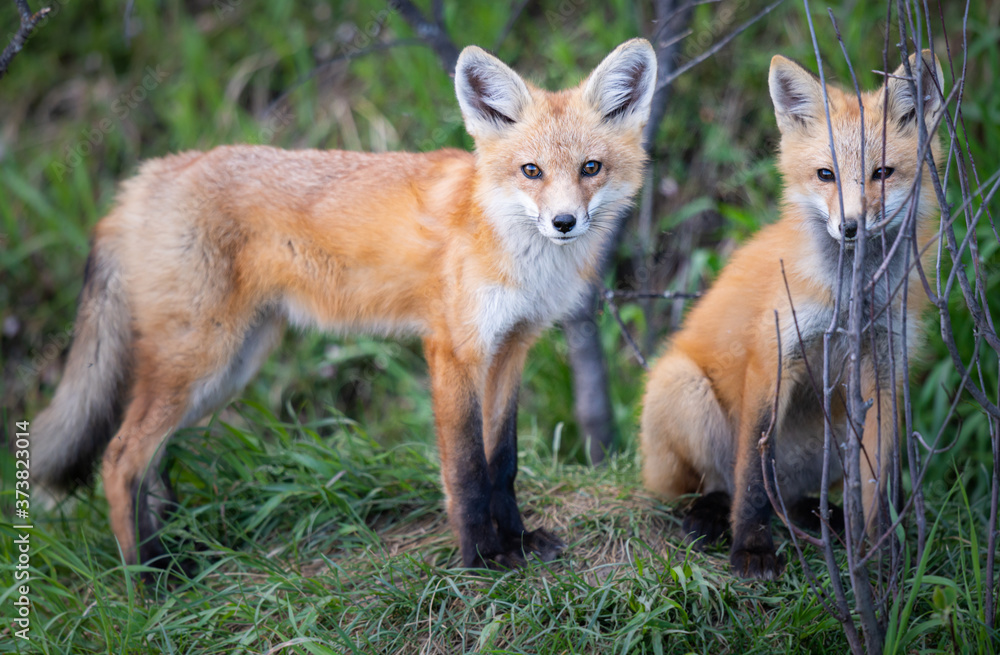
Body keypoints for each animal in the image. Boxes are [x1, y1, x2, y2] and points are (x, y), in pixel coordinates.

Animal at [32, 39, 658, 572]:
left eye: (591, 168)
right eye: (532, 171)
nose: (564, 222)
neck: (510, 246)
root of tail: (144, 179)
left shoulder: (509, 349)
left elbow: (503, 463)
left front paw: (519, 542)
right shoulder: (453, 352)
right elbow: (466, 471)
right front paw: (481, 557)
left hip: (228, 367)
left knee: (150, 462)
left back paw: (172, 550)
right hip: (199, 357)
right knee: (118, 458)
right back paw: (148, 580)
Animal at [640, 51, 944, 579]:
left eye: (883, 173)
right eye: (826, 175)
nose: (850, 227)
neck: (851, 298)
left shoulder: (884, 372)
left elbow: (877, 484)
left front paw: (882, 557)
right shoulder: (774, 356)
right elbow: (753, 479)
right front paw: (751, 549)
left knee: (795, 497)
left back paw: (818, 516)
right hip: (681, 388)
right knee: (713, 485)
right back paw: (708, 516)